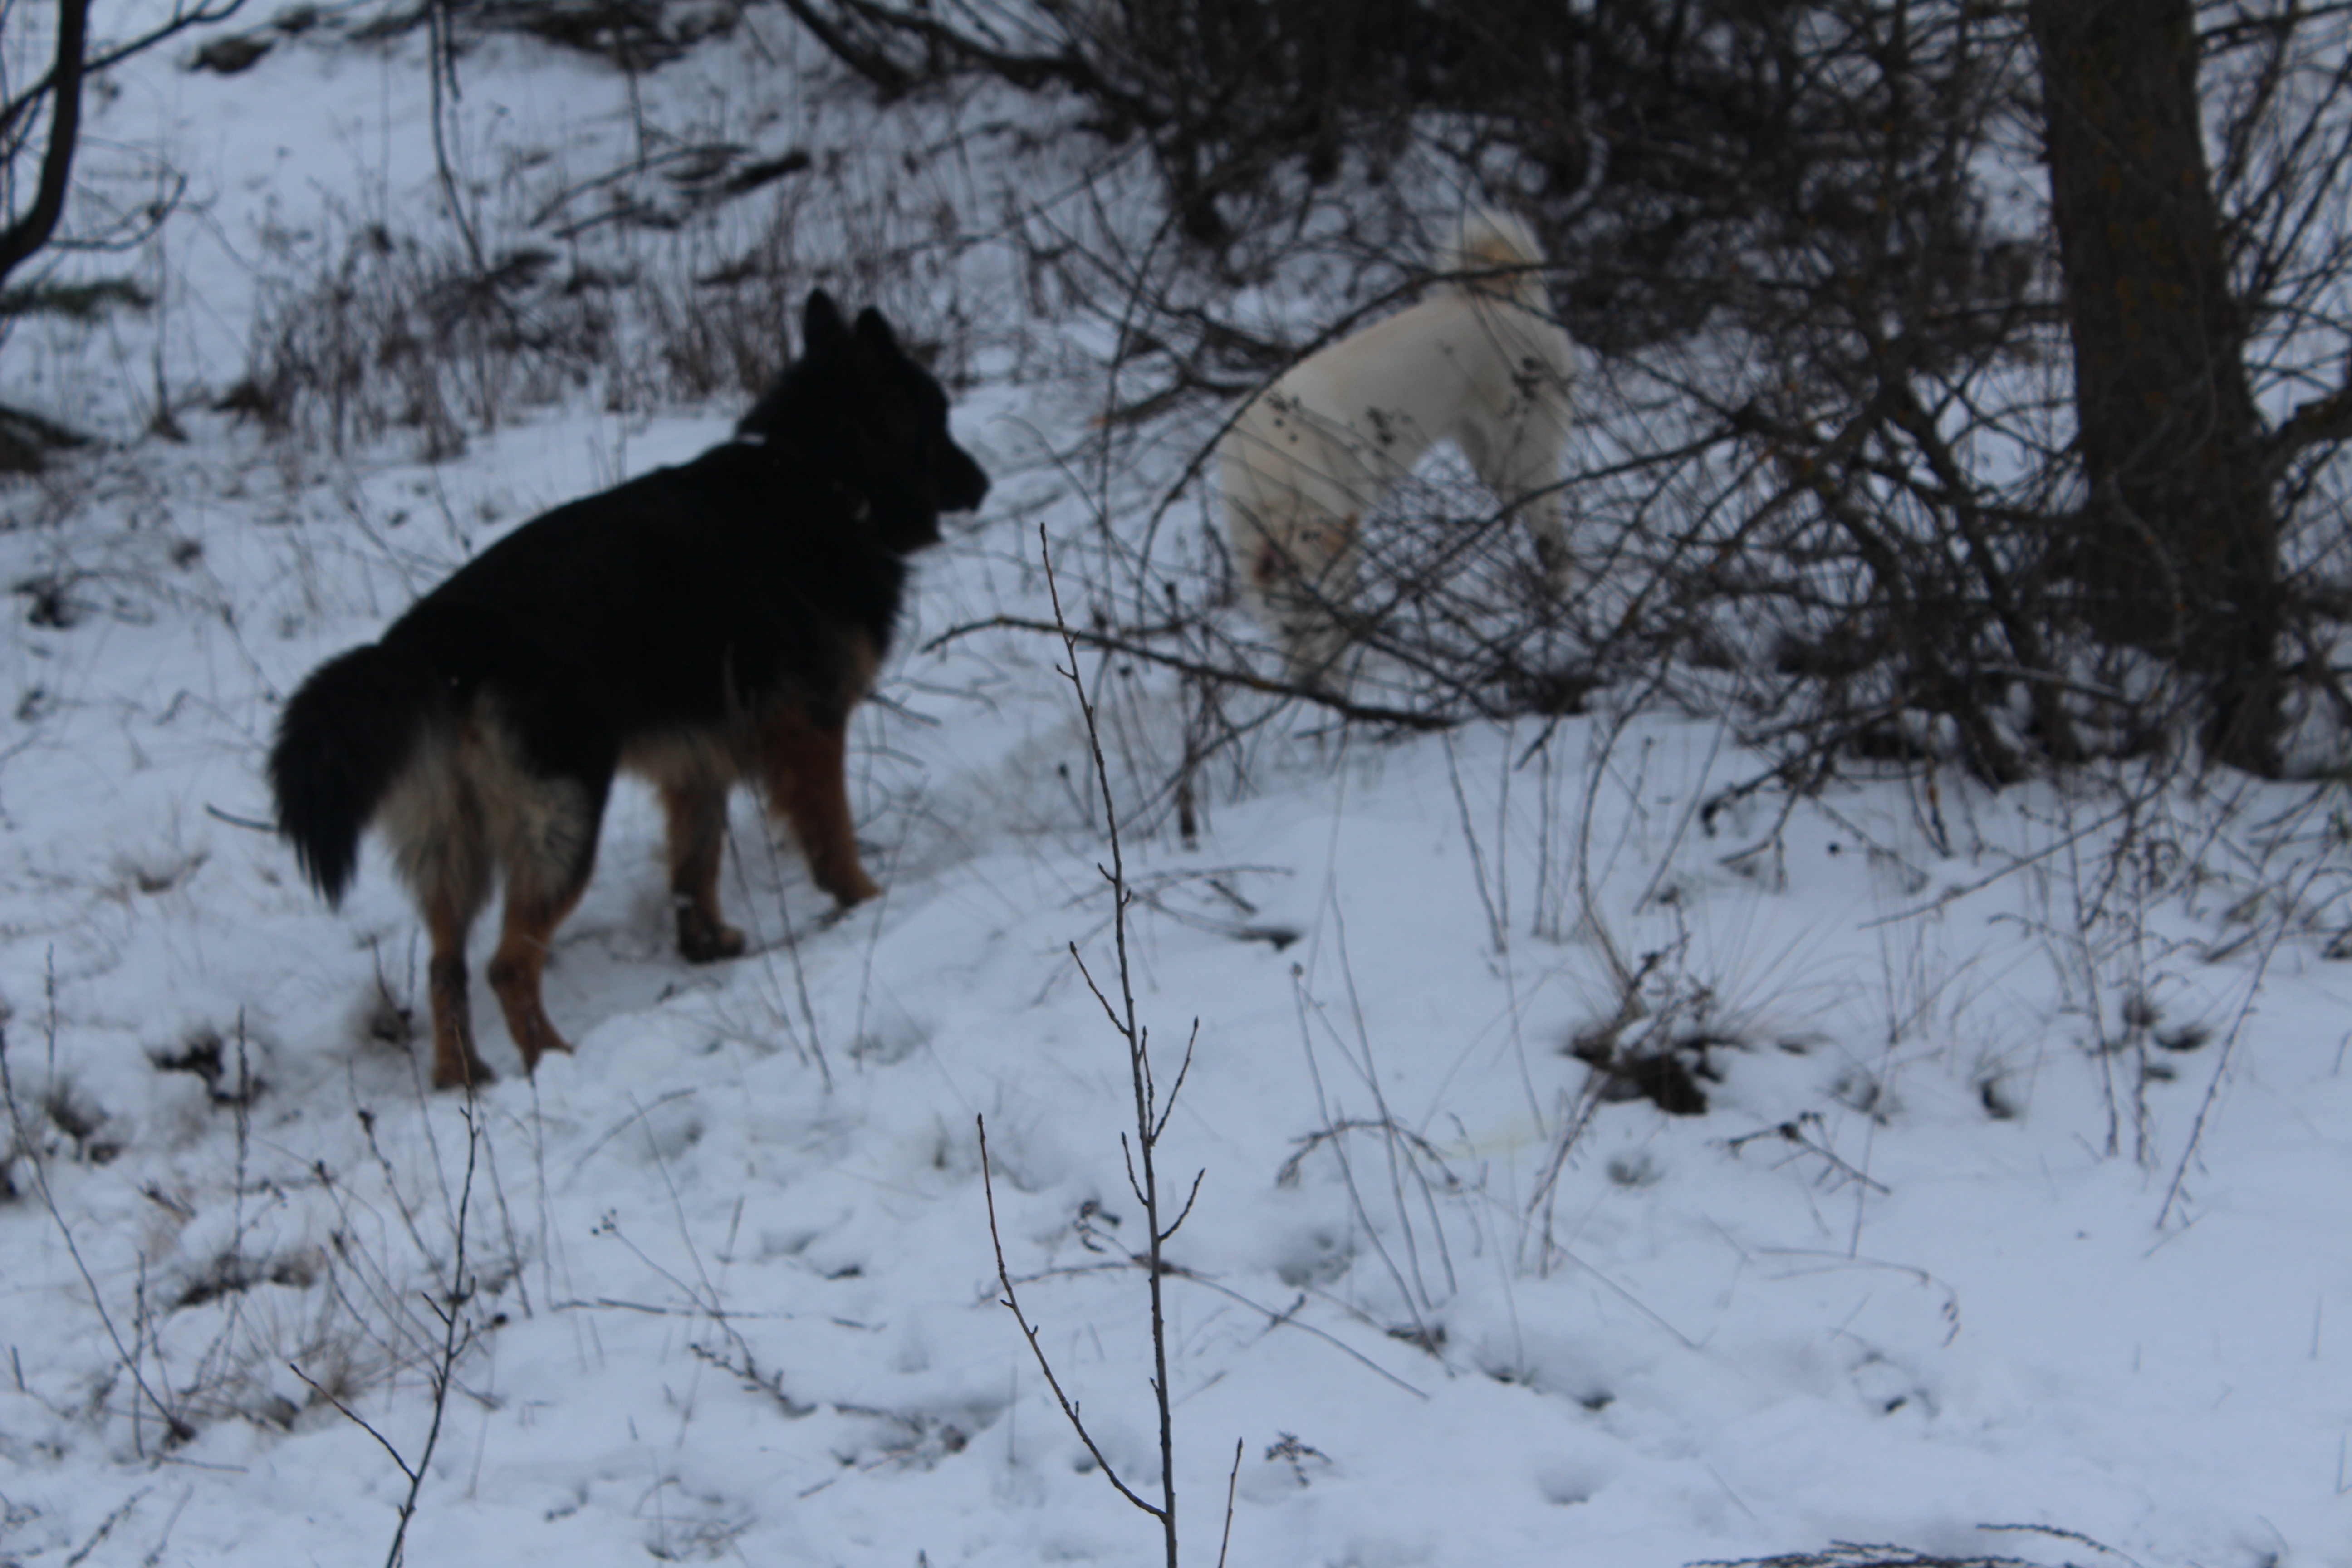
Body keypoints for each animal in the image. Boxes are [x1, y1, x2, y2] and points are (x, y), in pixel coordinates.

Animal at [270, 290, 989, 1090]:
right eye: (939, 419)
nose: (984, 484)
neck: (819, 478)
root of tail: (431, 641)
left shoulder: (699, 760)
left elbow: (695, 861)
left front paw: (705, 941)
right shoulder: (809, 729)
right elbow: (831, 834)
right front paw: (863, 901)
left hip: (454, 848)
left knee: (443, 966)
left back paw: (465, 1075)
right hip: (565, 820)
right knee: (507, 965)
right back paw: (550, 1056)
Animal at [1219, 208, 1577, 685]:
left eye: (1326, 625)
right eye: (1290, 628)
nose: (1316, 690)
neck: (1279, 473)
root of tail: (1503, 295)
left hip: (1524, 458)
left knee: (1554, 536)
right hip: (1492, 463)